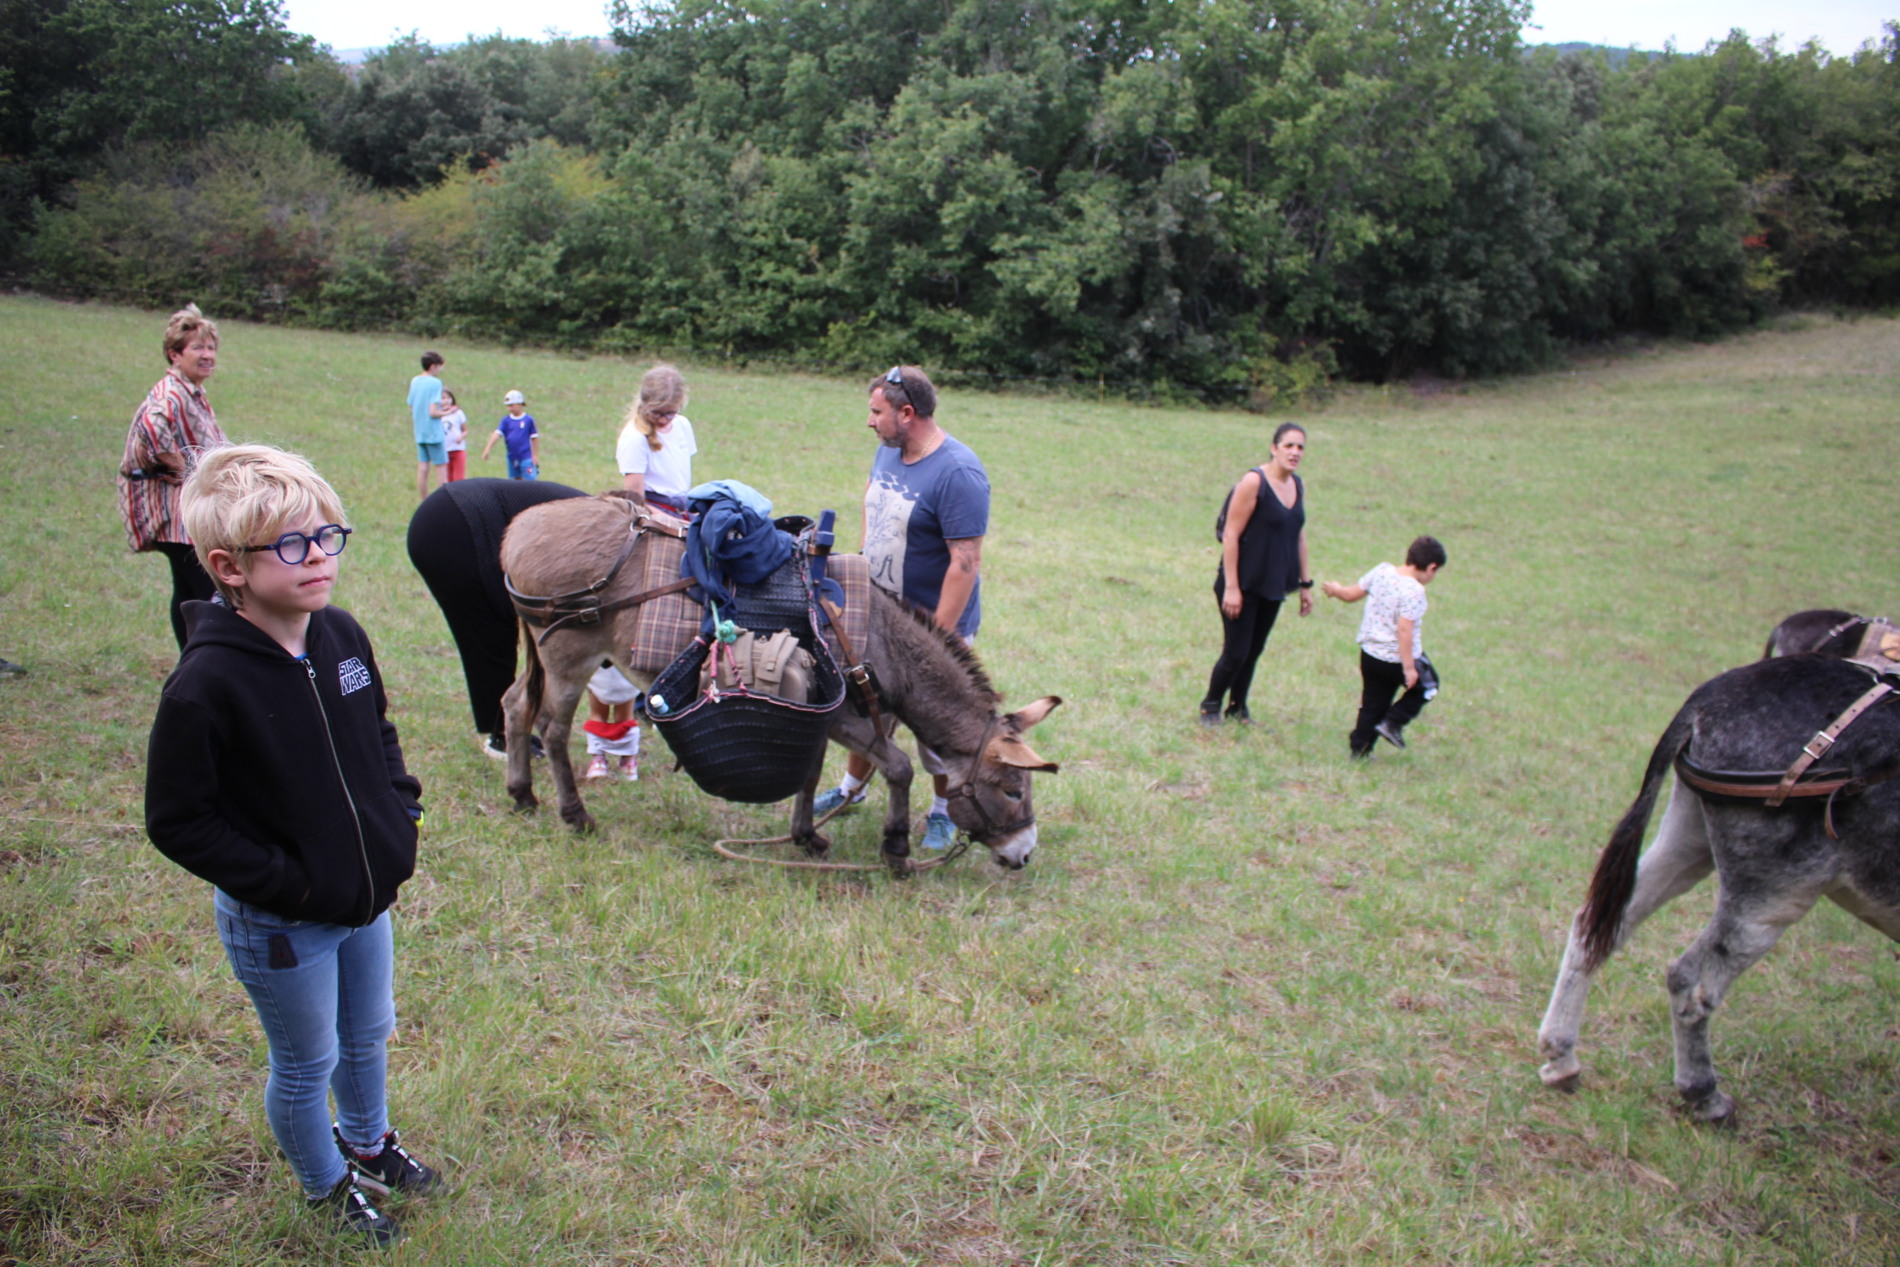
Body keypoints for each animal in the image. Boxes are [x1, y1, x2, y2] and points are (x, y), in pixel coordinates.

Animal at [495, 495, 1061, 872]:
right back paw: (575, 816)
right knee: (553, 728)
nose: (1024, 855)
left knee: (516, 704)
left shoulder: (818, 716)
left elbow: (808, 775)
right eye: (1012, 790)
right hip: (569, 660)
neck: (882, 638)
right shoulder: (843, 715)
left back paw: (523, 796)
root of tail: (519, 526)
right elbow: (899, 768)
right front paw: (896, 850)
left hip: (545, 654)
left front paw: (806, 837)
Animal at [1537, 654, 1900, 1122]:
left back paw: (1561, 1057)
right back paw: (1704, 1095)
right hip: (1774, 895)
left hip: (1689, 840)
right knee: (1692, 982)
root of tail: (1709, 696)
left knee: (1595, 928)